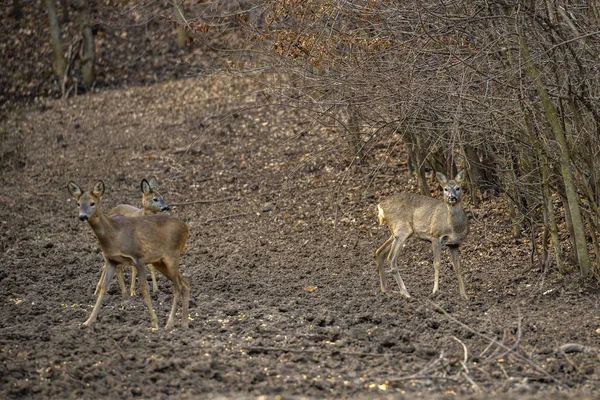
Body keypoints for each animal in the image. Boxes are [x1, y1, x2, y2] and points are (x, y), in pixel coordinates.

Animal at [67, 180, 190, 328]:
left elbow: (144, 289)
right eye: (78, 203)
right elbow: (104, 288)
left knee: (178, 286)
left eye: (92, 203)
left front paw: (154, 323)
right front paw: (88, 321)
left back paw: (169, 323)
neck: (114, 234)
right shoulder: (111, 260)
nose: (82, 216)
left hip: (172, 254)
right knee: (185, 284)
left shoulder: (138, 257)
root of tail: (186, 227)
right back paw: (184, 324)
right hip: (160, 261)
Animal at [376, 170, 468, 298]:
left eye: (458, 188)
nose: (452, 197)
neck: (454, 227)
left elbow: (457, 267)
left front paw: (464, 295)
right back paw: (406, 293)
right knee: (391, 258)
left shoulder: (454, 244)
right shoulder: (435, 235)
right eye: (445, 189)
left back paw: (386, 290)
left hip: (396, 232)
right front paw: (435, 291)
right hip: (402, 228)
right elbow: (437, 263)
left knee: (379, 252)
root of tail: (380, 206)